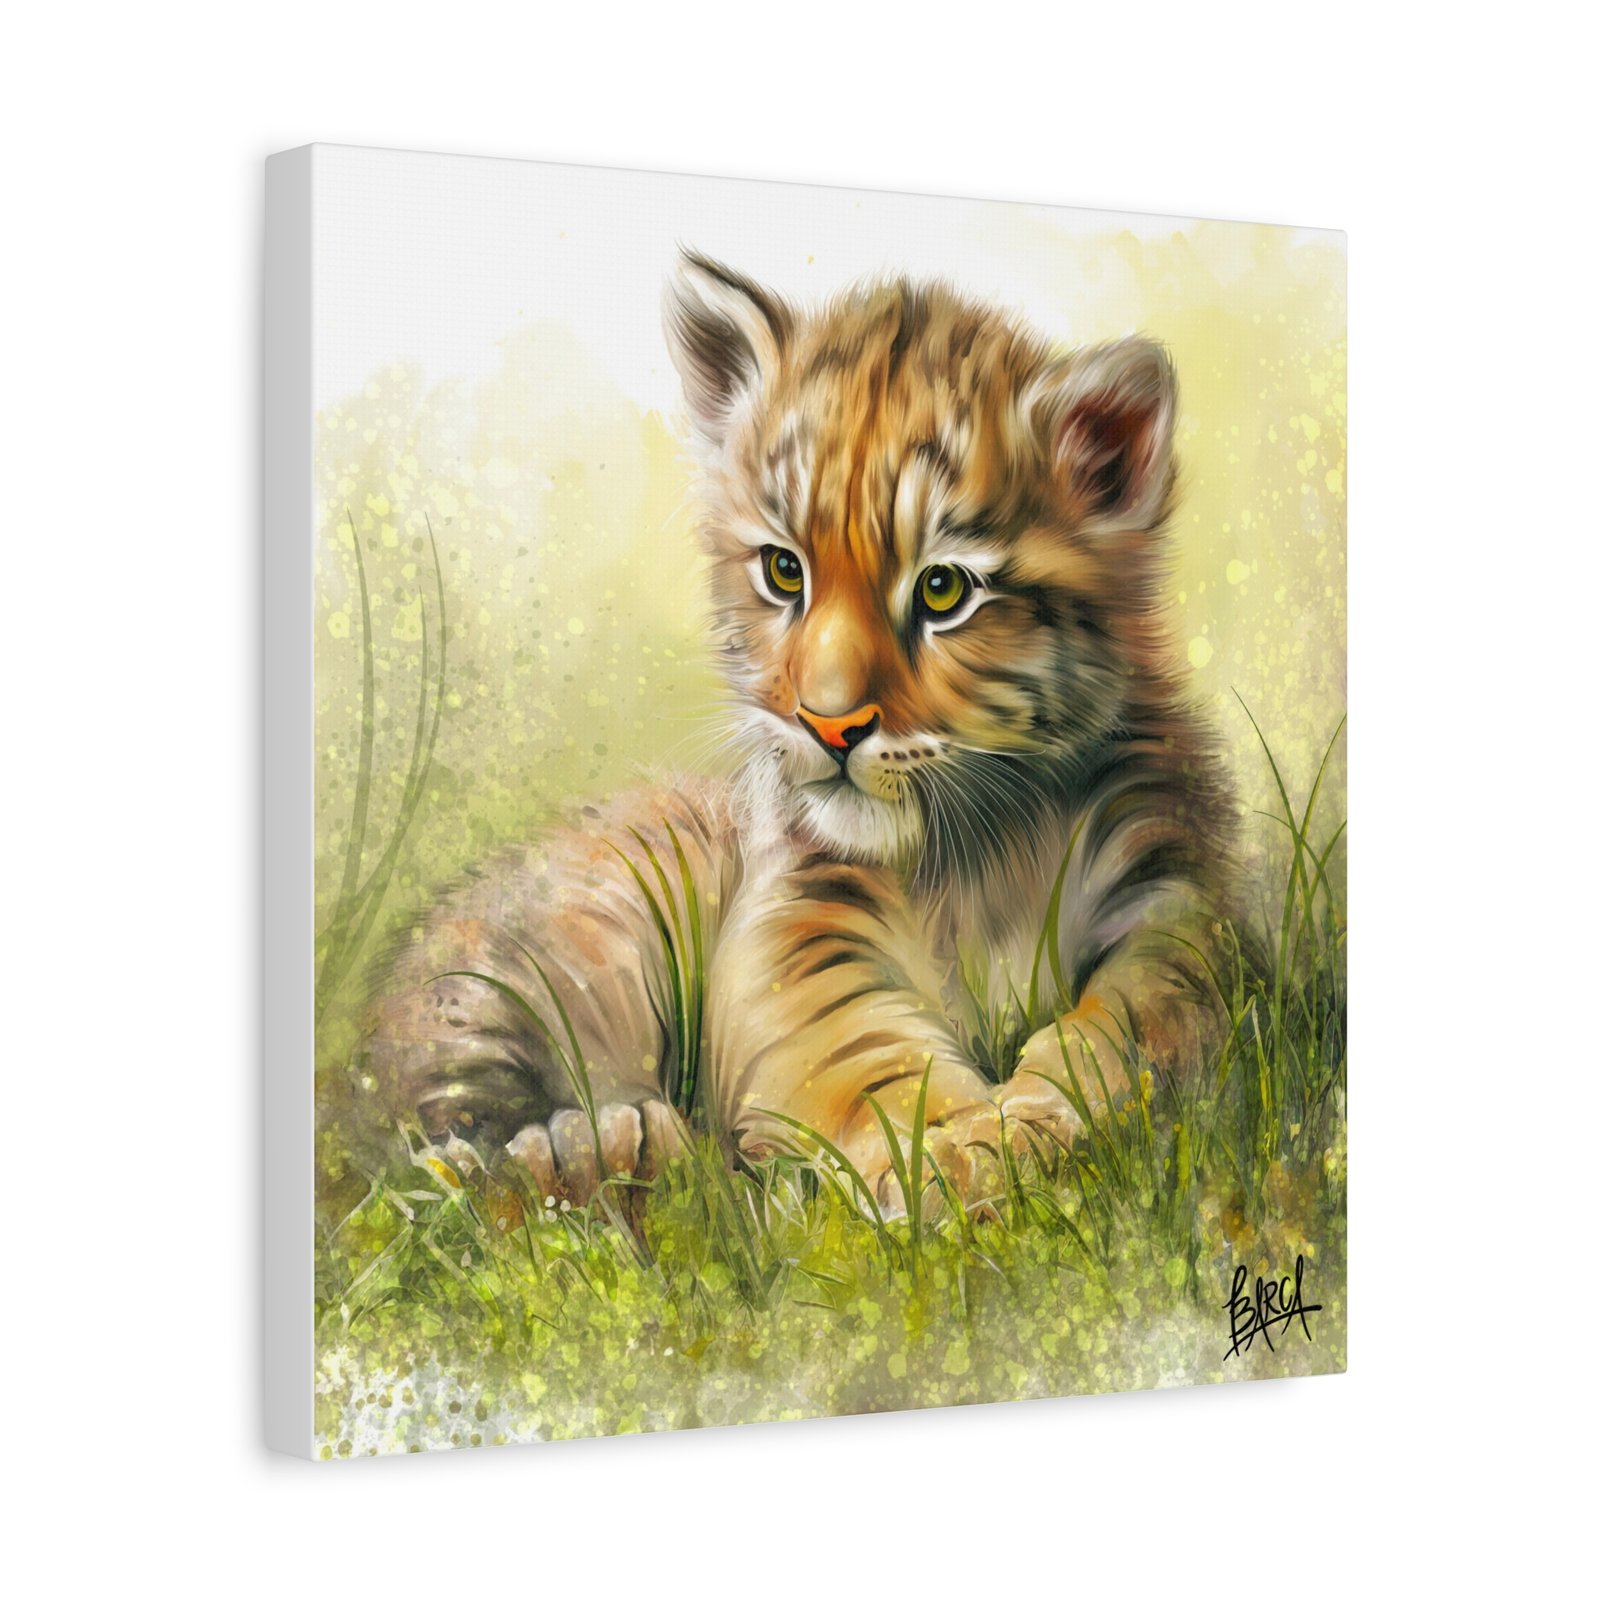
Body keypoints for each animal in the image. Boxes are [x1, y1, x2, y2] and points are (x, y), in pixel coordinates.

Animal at [361, 250, 1239, 1212]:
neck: (979, 853)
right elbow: (863, 1049)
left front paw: (1030, 1124)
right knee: (431, 1154)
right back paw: (599, 1152)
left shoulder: (1168, 899)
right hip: (523, 967)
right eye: (785, 570)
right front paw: (957, 1154)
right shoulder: (800, 917)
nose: (827, 724)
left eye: (943, 589)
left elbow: (1136, 1022)